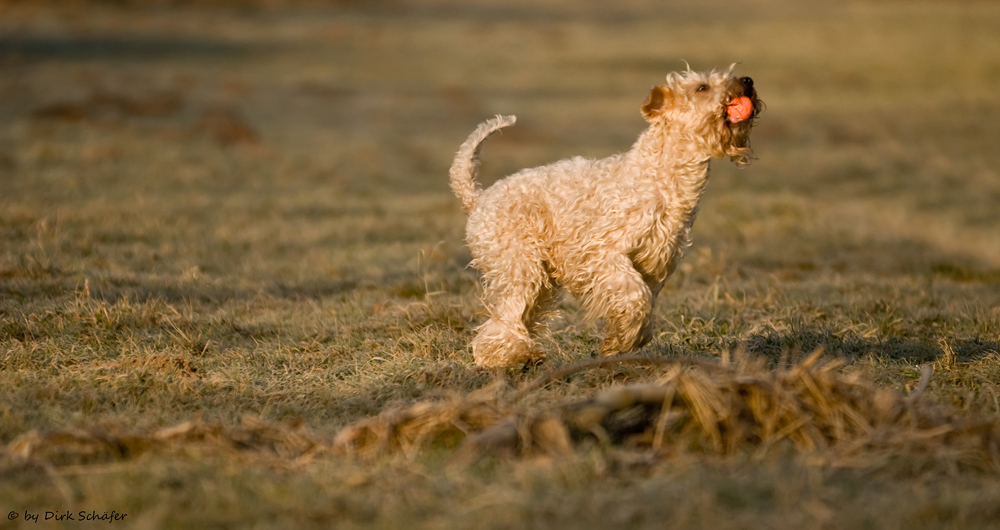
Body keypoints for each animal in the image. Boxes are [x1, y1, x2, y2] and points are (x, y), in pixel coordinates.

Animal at [450, 66, 760, 366]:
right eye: (702, 87)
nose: (748, 81)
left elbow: (643, 307)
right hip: (519, 268)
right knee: (501, 319)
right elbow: (635, 296)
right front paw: (621, 341)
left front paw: (622, 341)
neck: (661, 177)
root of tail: (478, 199)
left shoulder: (656, 263)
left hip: (538, 280)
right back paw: (509, 356)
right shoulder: (604, 253)